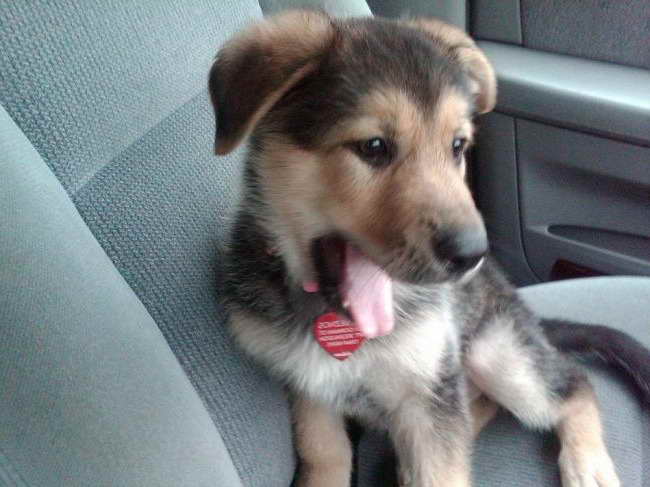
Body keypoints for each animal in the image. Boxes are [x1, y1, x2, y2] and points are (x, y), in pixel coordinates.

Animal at [209, 9, 648, 486]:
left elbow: (442, 469)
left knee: (574, 384)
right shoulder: (311, 389)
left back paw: (587, 464)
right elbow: (324, 456)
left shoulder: (429, 385)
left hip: (494, 352)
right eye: (373, 146)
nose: (473, 254)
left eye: (457, 146)